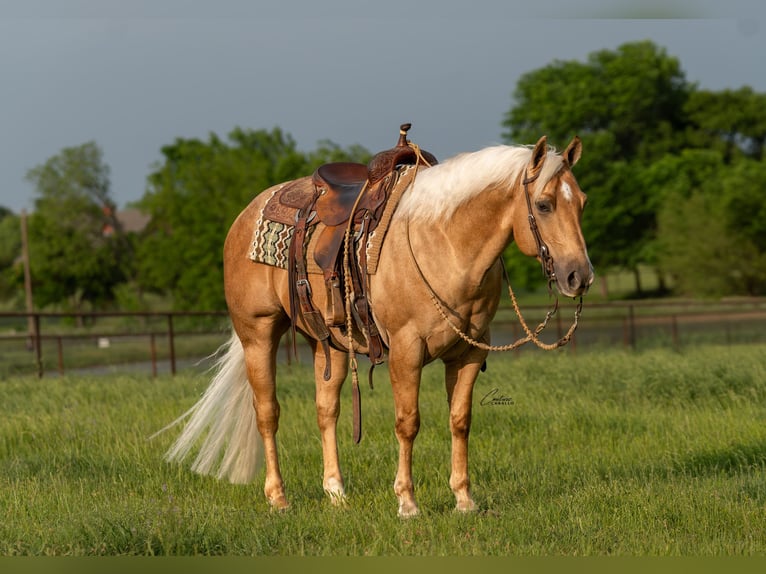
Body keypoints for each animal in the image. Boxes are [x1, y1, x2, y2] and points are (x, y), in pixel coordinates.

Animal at [159, 133, 593, 518]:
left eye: (582, 204)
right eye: (544, 205)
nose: (579, 276)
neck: (444, 243)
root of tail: (247, 213)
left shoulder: (469, 352)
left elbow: (460, 421)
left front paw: (464, 500)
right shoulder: (406, 350)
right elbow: (408, 423)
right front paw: (407, 503)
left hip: (329, 344)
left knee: (326, 410)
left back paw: (336, 493)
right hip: (258, 334)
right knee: (267, 412)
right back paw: (278, 498)